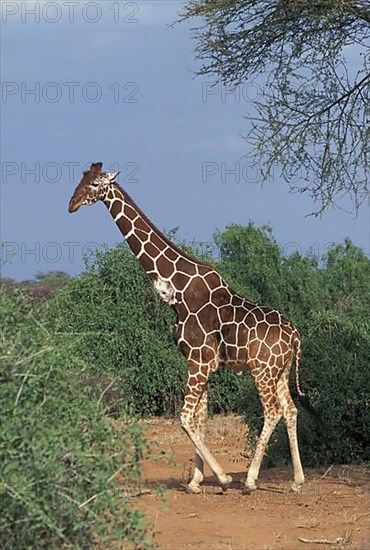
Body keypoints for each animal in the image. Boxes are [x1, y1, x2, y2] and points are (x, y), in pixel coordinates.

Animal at [68, 162, 304, 494]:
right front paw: (195, 481)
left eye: (95, 184)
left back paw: (249, 480)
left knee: (273, 411)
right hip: (280, 370)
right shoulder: (199, 363)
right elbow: (199, 419)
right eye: (81, 179)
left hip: (262, 370)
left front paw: (222, 478)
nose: (72, 204)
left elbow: (184, 418)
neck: (175, 288)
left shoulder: (200, 361)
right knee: (291, 410)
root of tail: (295, 336)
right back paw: (297, 480)